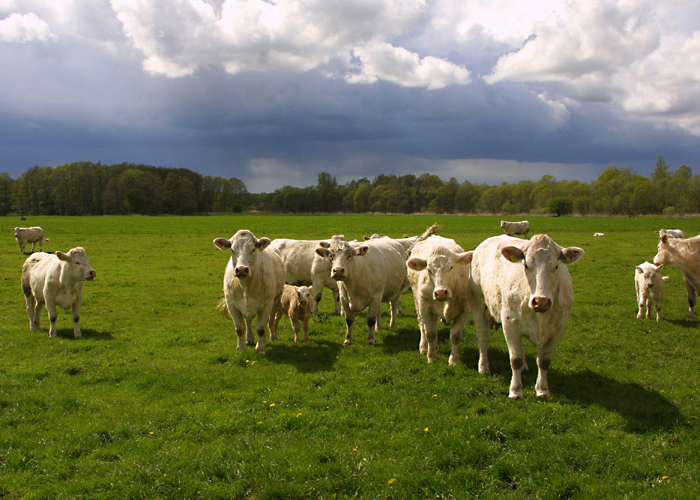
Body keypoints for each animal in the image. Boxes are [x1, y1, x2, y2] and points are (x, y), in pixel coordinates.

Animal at [408, 229, 474, 366]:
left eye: (451, 267)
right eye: (428, 270)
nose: (441, 292)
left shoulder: (464, 310)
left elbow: (455, 336)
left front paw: (454, 360)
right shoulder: (425, 308)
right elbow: (430, 333)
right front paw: (431, 357)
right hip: (418, 302)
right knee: (422, 325)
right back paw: (424, 347)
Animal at [470, 233, 584, 398]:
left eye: (556, 266)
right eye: (526, 265)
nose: (541, 301)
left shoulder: (559, 329)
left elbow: (544, 361)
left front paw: (542, 389)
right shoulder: (509, 323)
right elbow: (515, 359)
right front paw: (515, 390)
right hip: (478, 304)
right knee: (483, 337)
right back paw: (483, 366)